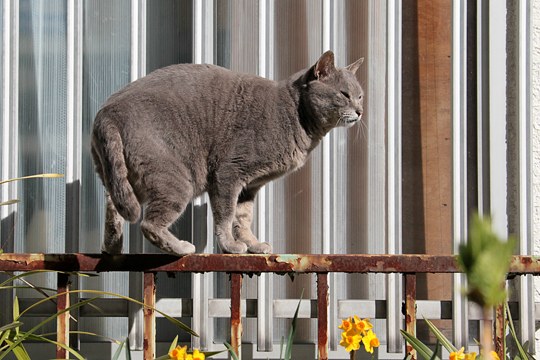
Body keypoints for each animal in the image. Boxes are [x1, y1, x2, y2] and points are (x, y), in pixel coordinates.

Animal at [92, 50, 362, 255]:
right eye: (344, 95)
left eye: (360, 96)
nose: (360, 111)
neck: (296, 115)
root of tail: (108, 111)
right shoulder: (228, 173)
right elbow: (225, 215)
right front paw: (231, 246)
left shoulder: (250, 186)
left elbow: (243, 218)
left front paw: (253, 245)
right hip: (175, 180)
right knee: (148, 223)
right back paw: (181, 247)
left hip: (120, 176)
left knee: (114, 205)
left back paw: (112, 247)